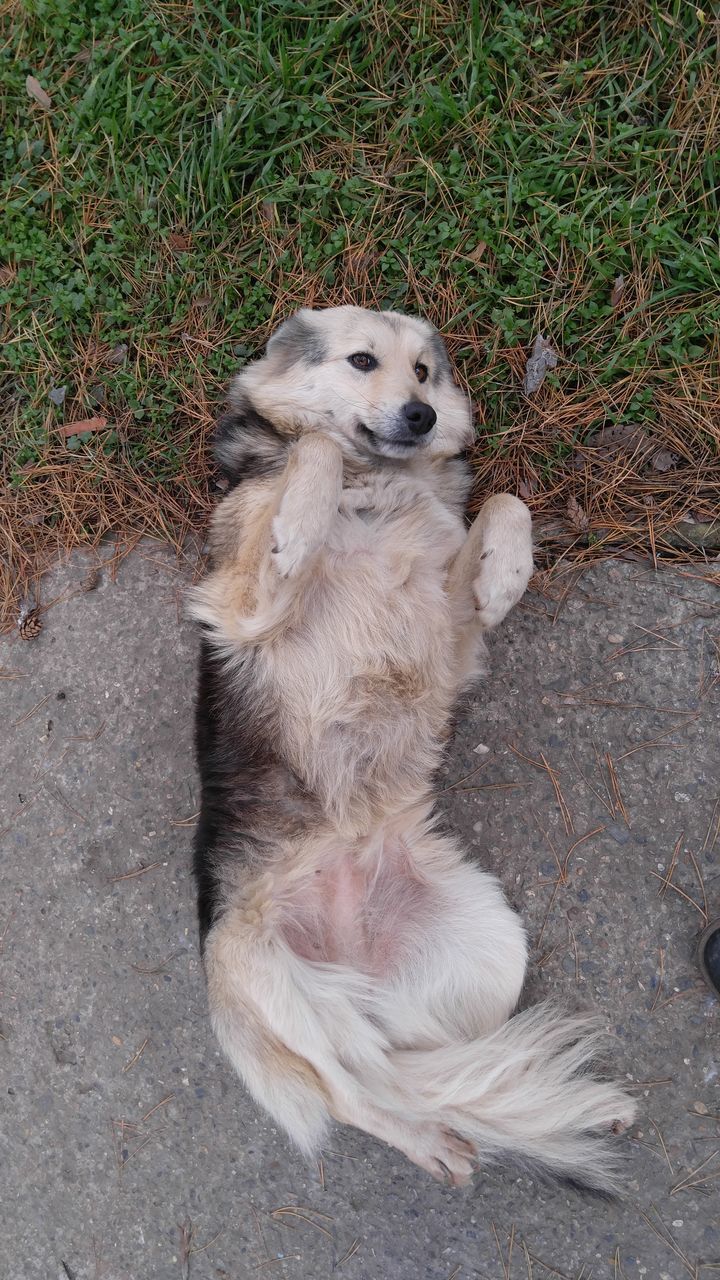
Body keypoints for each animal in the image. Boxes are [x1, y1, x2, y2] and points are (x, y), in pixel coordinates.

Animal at [185, 307, 632, 1187]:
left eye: (425, 372)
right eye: (363, 361)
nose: (420, 416)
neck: (377, 484)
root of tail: (350, 957)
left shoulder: (456, 644)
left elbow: (506, 500)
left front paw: (504, 575)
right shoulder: (241, 606)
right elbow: (316, 454)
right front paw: (305, 505)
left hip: (493, 954)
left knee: (409, 1068)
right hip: (269, 981)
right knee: (348, 1092)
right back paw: (427, 1142)